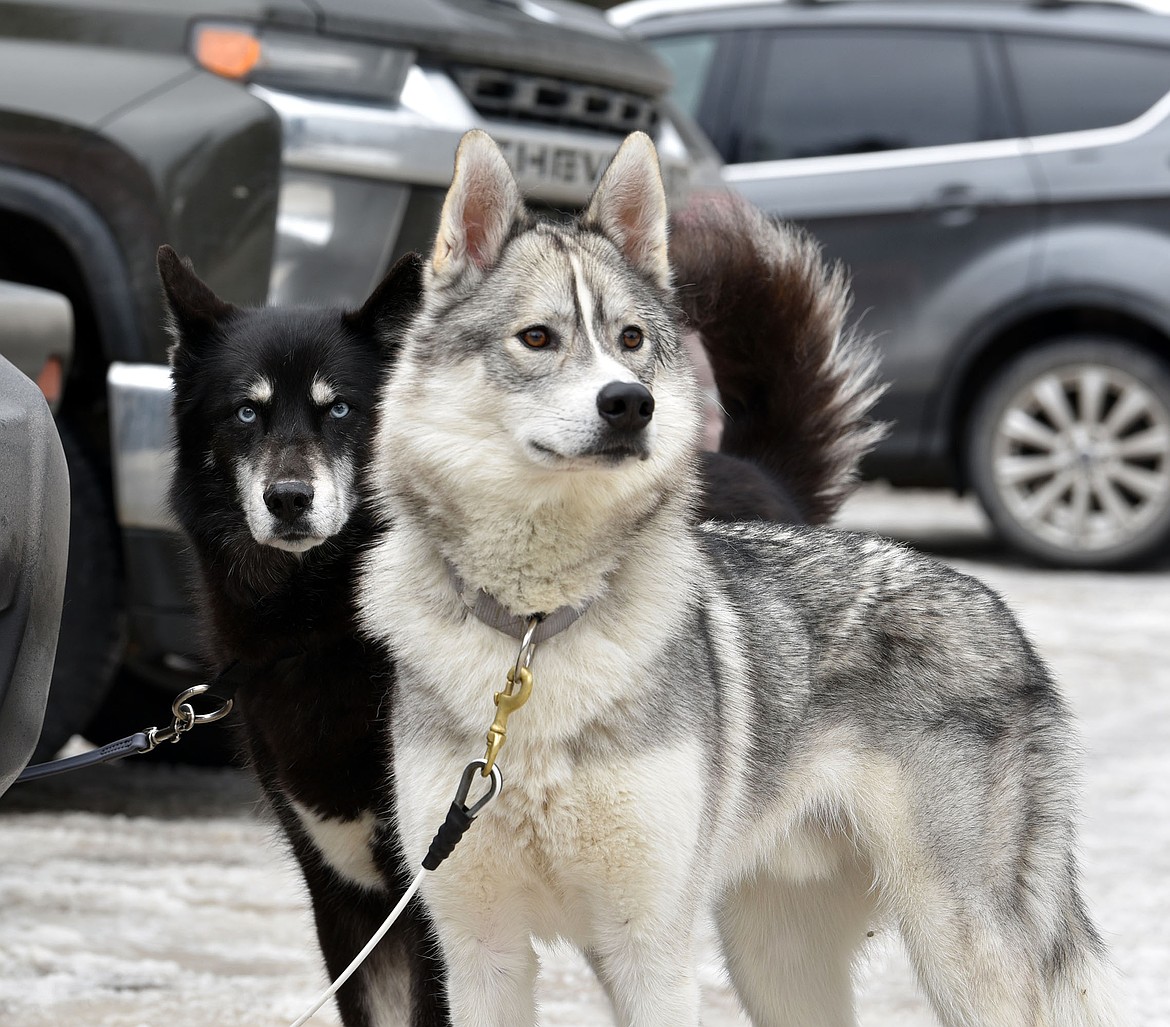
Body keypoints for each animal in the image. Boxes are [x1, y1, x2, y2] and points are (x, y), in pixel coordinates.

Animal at [159, 184, 884, 1027]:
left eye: (341, 410)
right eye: (245, 412)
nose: (288, 498)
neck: (317, 623)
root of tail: (760, 471)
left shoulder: (425, 903)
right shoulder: (345, 896)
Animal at [356, 130, 1126, 1027]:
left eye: (630, 339)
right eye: (538, 338)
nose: (631, 403)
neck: (537, 631)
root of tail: (996, 609)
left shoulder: (649, 950)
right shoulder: (481, 956)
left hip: (961, 954)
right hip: (779, 963)